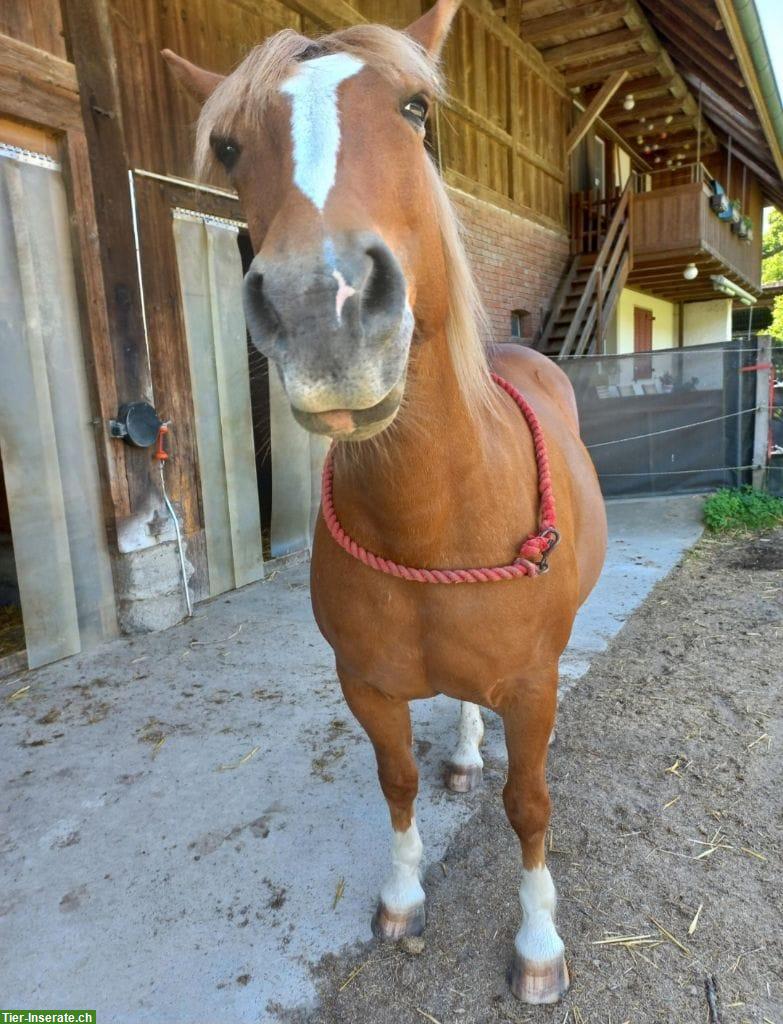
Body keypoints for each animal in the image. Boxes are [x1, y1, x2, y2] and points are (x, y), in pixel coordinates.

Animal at [163, 0, 605, 1003]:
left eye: (413, 109)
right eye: (231, 145)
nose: (321, 312)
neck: (433, 520)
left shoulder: (533, 685)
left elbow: (530, 804)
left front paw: (538, 946)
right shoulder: (364, 684)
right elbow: (396, 781)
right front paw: (402, 897)